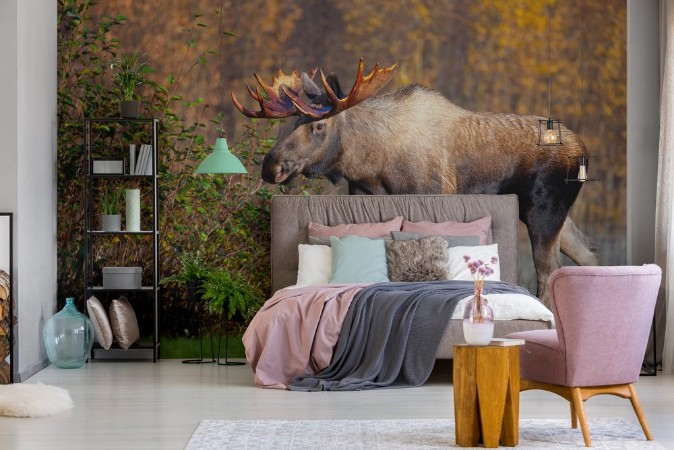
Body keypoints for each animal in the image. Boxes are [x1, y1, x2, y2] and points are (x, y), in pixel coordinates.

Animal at [231, 59, 599, 305]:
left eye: (319, 126)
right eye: (292, 122)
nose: (271, 166)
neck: (370, 165)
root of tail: (583, 150)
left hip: (544, 209)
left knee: (549, 272)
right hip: (553, 214)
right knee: (589, 254)